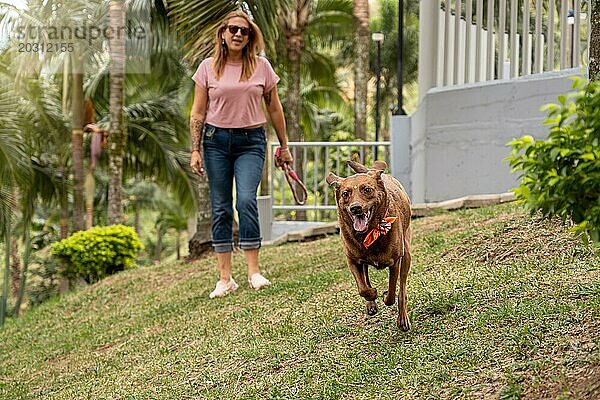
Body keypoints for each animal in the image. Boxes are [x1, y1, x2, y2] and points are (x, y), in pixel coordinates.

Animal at [324, 160, 412, 332]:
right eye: (346, 193)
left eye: (367, 189)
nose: (355, 208)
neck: (370, 232)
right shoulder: (352, 260)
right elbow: (363, 288)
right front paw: (372, 295)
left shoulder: (395, 262)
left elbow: (392, 292)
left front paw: (385, 295)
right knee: (365, 277)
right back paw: (371, 304)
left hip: (406, 256)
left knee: (402, 289)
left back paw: (402, 319)